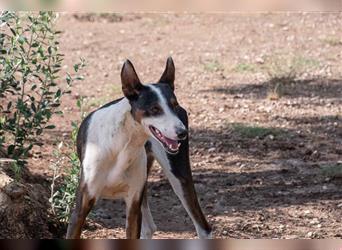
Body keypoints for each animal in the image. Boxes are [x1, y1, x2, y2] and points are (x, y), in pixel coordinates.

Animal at [65, 57, 212, 239]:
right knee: (149, 228)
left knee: (203, 227)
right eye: (155, 108)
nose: (182, 132)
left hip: (179, 176)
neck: (122, 145)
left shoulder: (133, 206)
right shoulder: (80, 210)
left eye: (174, 105)